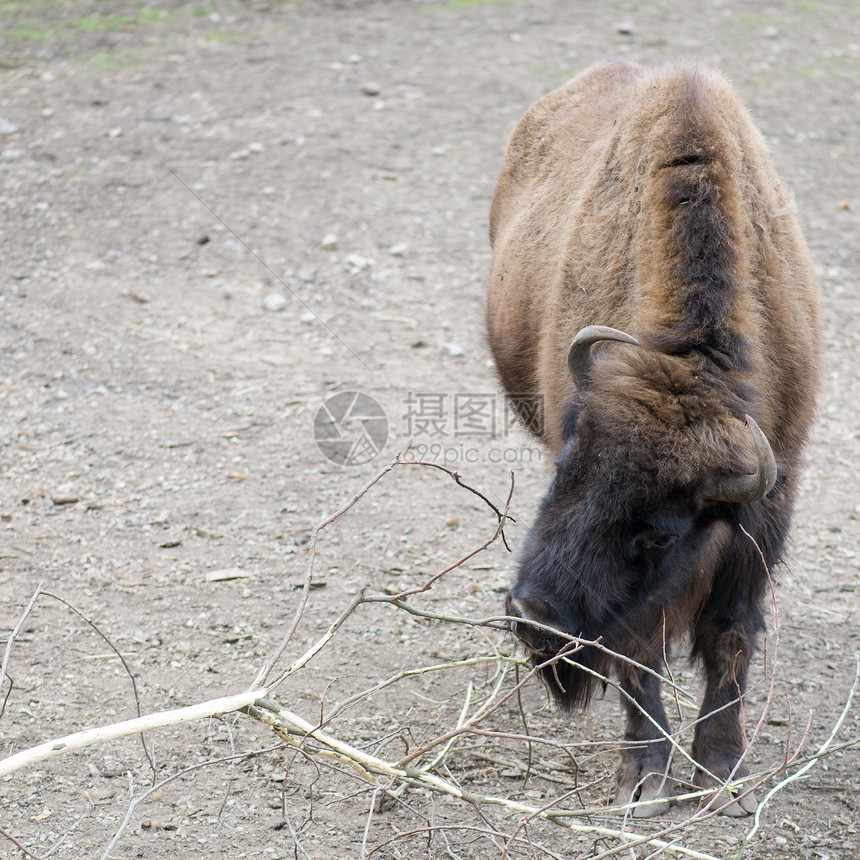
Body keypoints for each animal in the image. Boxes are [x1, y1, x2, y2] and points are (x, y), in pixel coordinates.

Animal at [490, 62, 820, 820]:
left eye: (663, 533)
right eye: (565, 470)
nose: (535, 619)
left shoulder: (764, 516)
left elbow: (729, 634)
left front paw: (722, 769)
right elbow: (640, 651)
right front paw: (644, 780)